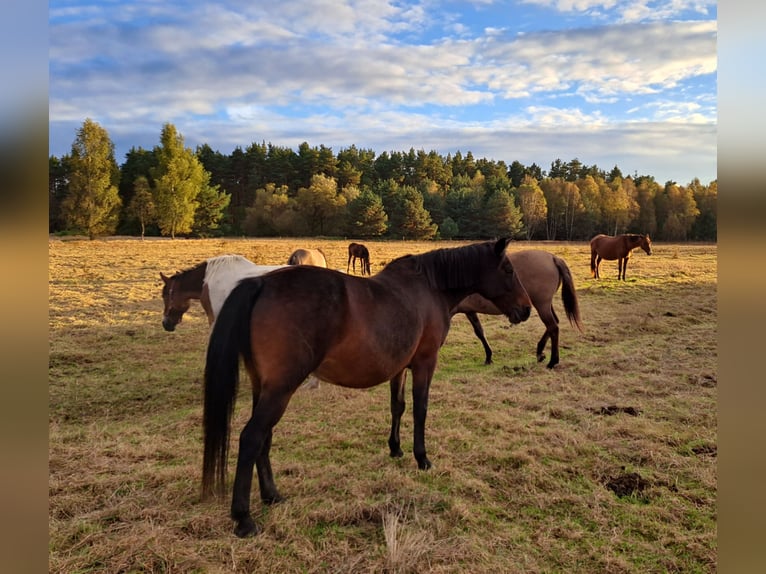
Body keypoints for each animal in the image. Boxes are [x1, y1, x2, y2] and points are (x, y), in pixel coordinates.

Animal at [201, 240, 532, 540]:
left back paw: (272, 495)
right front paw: (422, 458)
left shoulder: (399, 367)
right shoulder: (425, 363)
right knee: (251, 437)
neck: (429, 288)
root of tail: (260, 283)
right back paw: (244, 518)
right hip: (281, 389)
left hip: (266, 387)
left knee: (263, 438)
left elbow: (397, 406)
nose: (526, 309)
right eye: (508, 269)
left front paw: (395, 448)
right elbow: (420, 409)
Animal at [452, 251, 584, 368]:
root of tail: (553, 257)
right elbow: (480, 332)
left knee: (553, 327)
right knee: (554, 323)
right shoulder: (470, 311)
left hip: (542, 305)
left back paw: (552, 361)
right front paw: (489, 357)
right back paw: (540, 352)